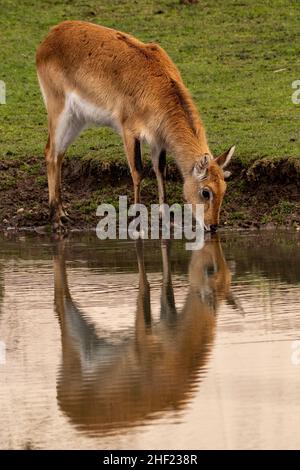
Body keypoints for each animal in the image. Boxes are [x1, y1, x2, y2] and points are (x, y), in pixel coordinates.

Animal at [36, 20, 236, 233]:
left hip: (77, 119)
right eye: (206, 192)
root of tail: (53, 33)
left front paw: (165, 218)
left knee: (58, 154)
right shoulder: (129, 132)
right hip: (59, 110)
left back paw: (63, 213)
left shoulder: (157, 140)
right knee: (50, 153)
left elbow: (160, 170)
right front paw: (136, 220)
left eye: (224, 188)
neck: (156, 88)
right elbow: (137, 171)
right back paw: (56, 219)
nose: (212, 226)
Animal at [54, 239, 234, 436]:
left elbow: (166, 275)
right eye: (210, 269)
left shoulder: (168, 314)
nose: (210, 236)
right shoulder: (142, 338)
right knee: (60, 300)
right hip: (75, 331)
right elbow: (144, 284)